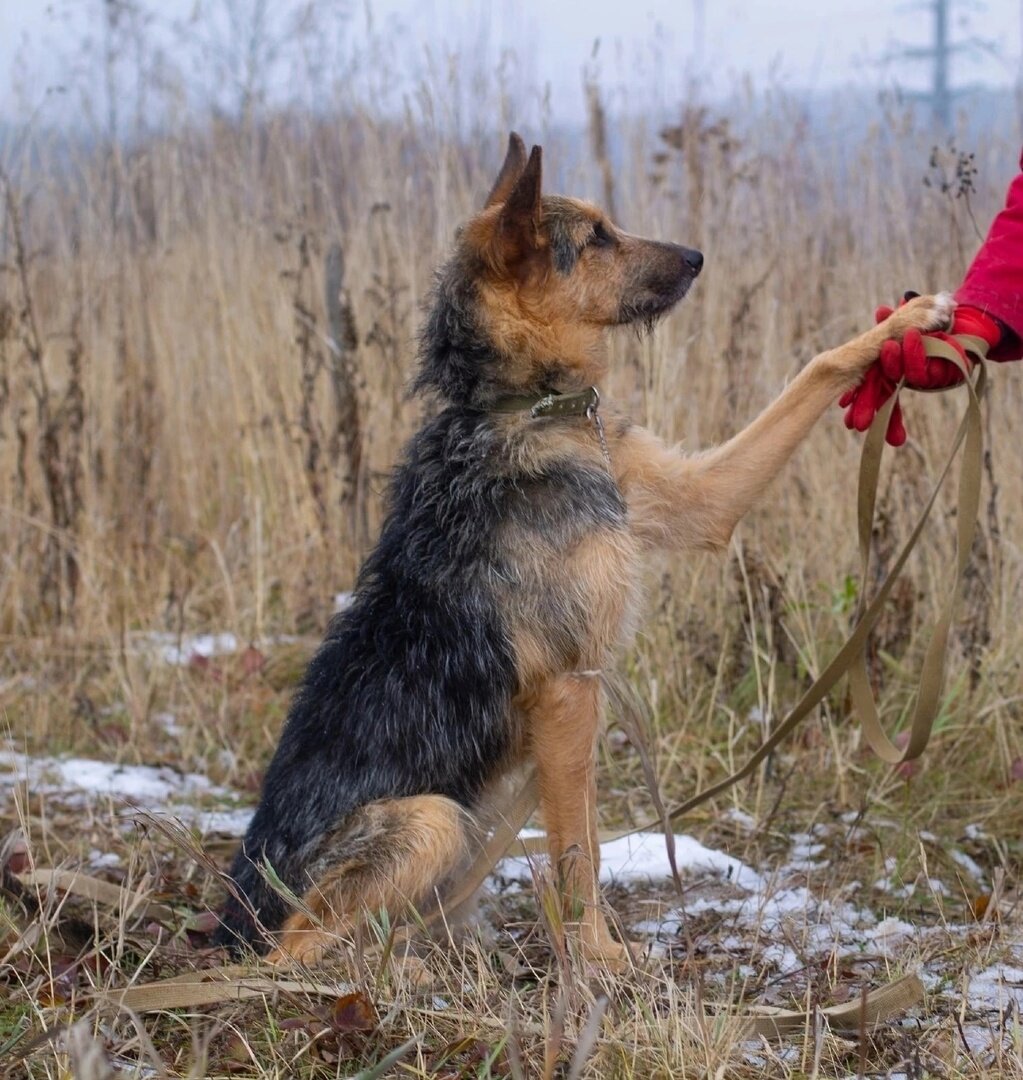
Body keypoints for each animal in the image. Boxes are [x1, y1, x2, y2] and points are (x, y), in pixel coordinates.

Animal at [218, 130, 959, 967]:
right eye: (597, 237)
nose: (697, 256)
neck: (531, 407)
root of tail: (234, 920)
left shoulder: (699, 502)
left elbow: (814, 367)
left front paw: (901, 326)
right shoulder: (569, 691)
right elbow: (579, 846)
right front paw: (597, 957)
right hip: (431, 820)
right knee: (293, 954)